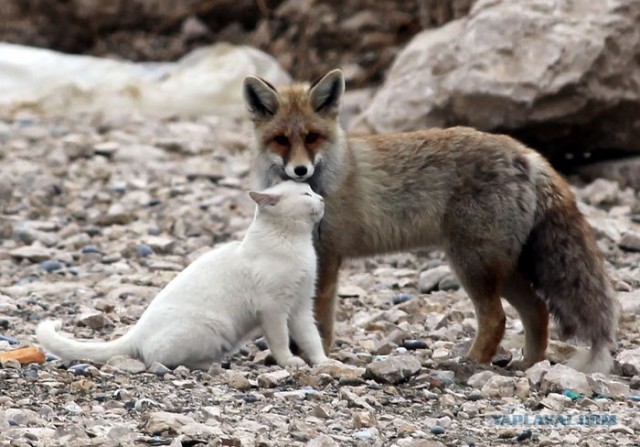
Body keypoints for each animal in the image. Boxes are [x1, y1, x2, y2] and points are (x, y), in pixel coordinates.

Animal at [36, 181, 330, 372]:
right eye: (306, 193)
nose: (322, 198)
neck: (296, 244)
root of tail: (136, 331)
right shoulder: (273, 309)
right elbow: (280, 341)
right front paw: (289, 362)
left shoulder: (301, 306)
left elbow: (311, 338)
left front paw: (324, 362)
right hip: (211, 327)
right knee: (158, 359)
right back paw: (211, 365)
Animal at [244, 68, 620, 372]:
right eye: (281, 140)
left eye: (312, 137)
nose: (300, 170)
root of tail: (526, 153)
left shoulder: (328, 257)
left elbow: (319, 321)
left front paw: (316, 356)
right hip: (500, 267)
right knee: (537, 310)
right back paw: (530, 364)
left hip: (472, 264)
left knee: (496, 318)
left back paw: (471, 364)